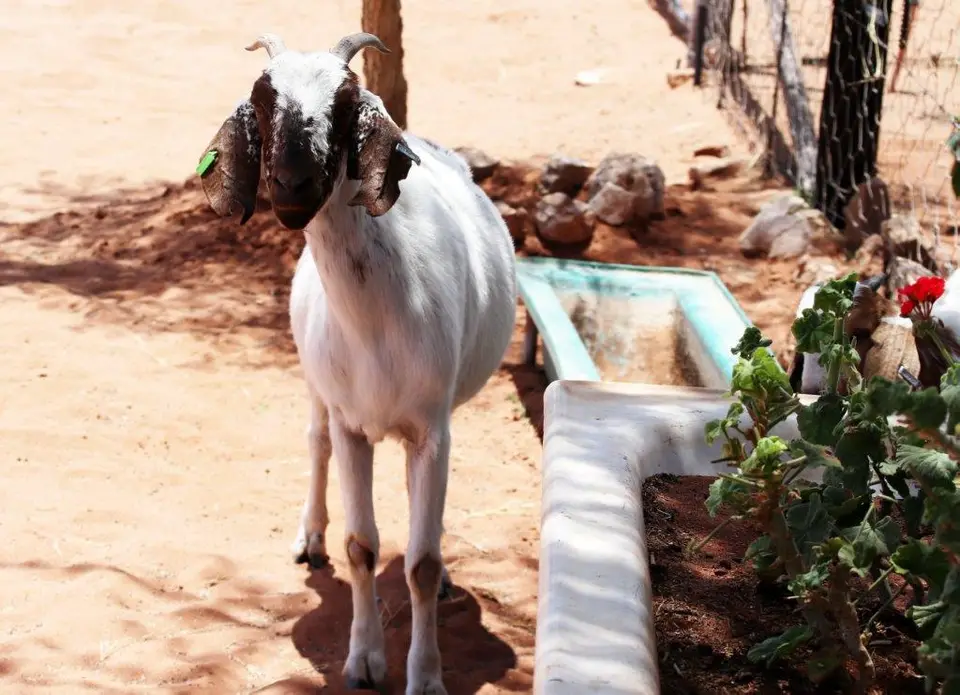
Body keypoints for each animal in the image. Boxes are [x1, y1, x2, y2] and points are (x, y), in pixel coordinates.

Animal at [196, 32, 517, 695]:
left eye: (345, 104)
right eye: (262, 101)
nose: (291, 186)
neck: (376, 325)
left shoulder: (431, 430)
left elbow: (420, 564)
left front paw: (425, 675)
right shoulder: (350, 426)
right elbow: (361, 547)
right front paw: (364, 659)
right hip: (317, 386)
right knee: (314, 441)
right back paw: (310, 536)